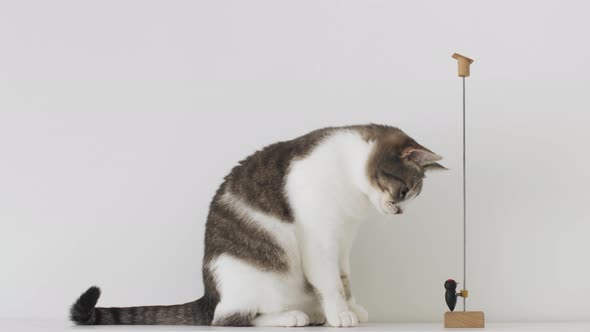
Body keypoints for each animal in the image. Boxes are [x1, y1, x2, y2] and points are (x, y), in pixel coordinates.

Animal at [70, 124, 448, 326]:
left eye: (411, 198)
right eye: (403, 191)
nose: (399, 212)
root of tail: (210, 294)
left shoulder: (344, 240)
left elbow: (345, 278)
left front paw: (351, 307)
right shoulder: (321, 238)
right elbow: (330, 282)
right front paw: (340, 313)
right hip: (260, 280)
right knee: (229, 318)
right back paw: (292, 317)